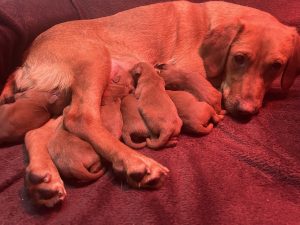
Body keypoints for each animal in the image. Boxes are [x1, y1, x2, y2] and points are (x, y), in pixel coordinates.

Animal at [0, 0, 300, 207]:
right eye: (239, 58)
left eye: (276, 66)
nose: (245, 111)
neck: (211, 24)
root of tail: (25, 60)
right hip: (94, 57)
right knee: (80, 118)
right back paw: (137, 164)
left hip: (65, 96)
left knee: (37, 132)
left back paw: (43, 177)